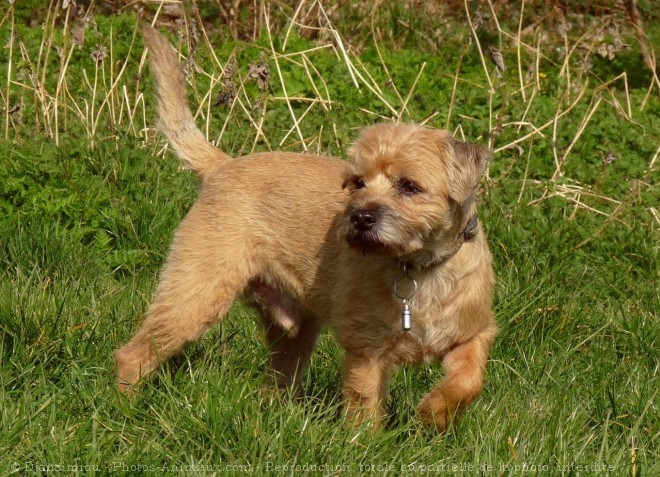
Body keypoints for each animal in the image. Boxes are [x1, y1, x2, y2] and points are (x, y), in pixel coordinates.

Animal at [114, 27, 496, 434]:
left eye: (409, 186)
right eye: (357, 182)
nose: (360, 218)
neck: (419, 269)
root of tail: (222, 166)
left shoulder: (474, 332)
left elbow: (468, 380)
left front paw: (435, 412)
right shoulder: (365, 348)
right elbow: (364, 400)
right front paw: (364, 441)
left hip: (293, 331)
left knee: (278, 378)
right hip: (195, 294)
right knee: (133, 354)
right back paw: (123, 410)